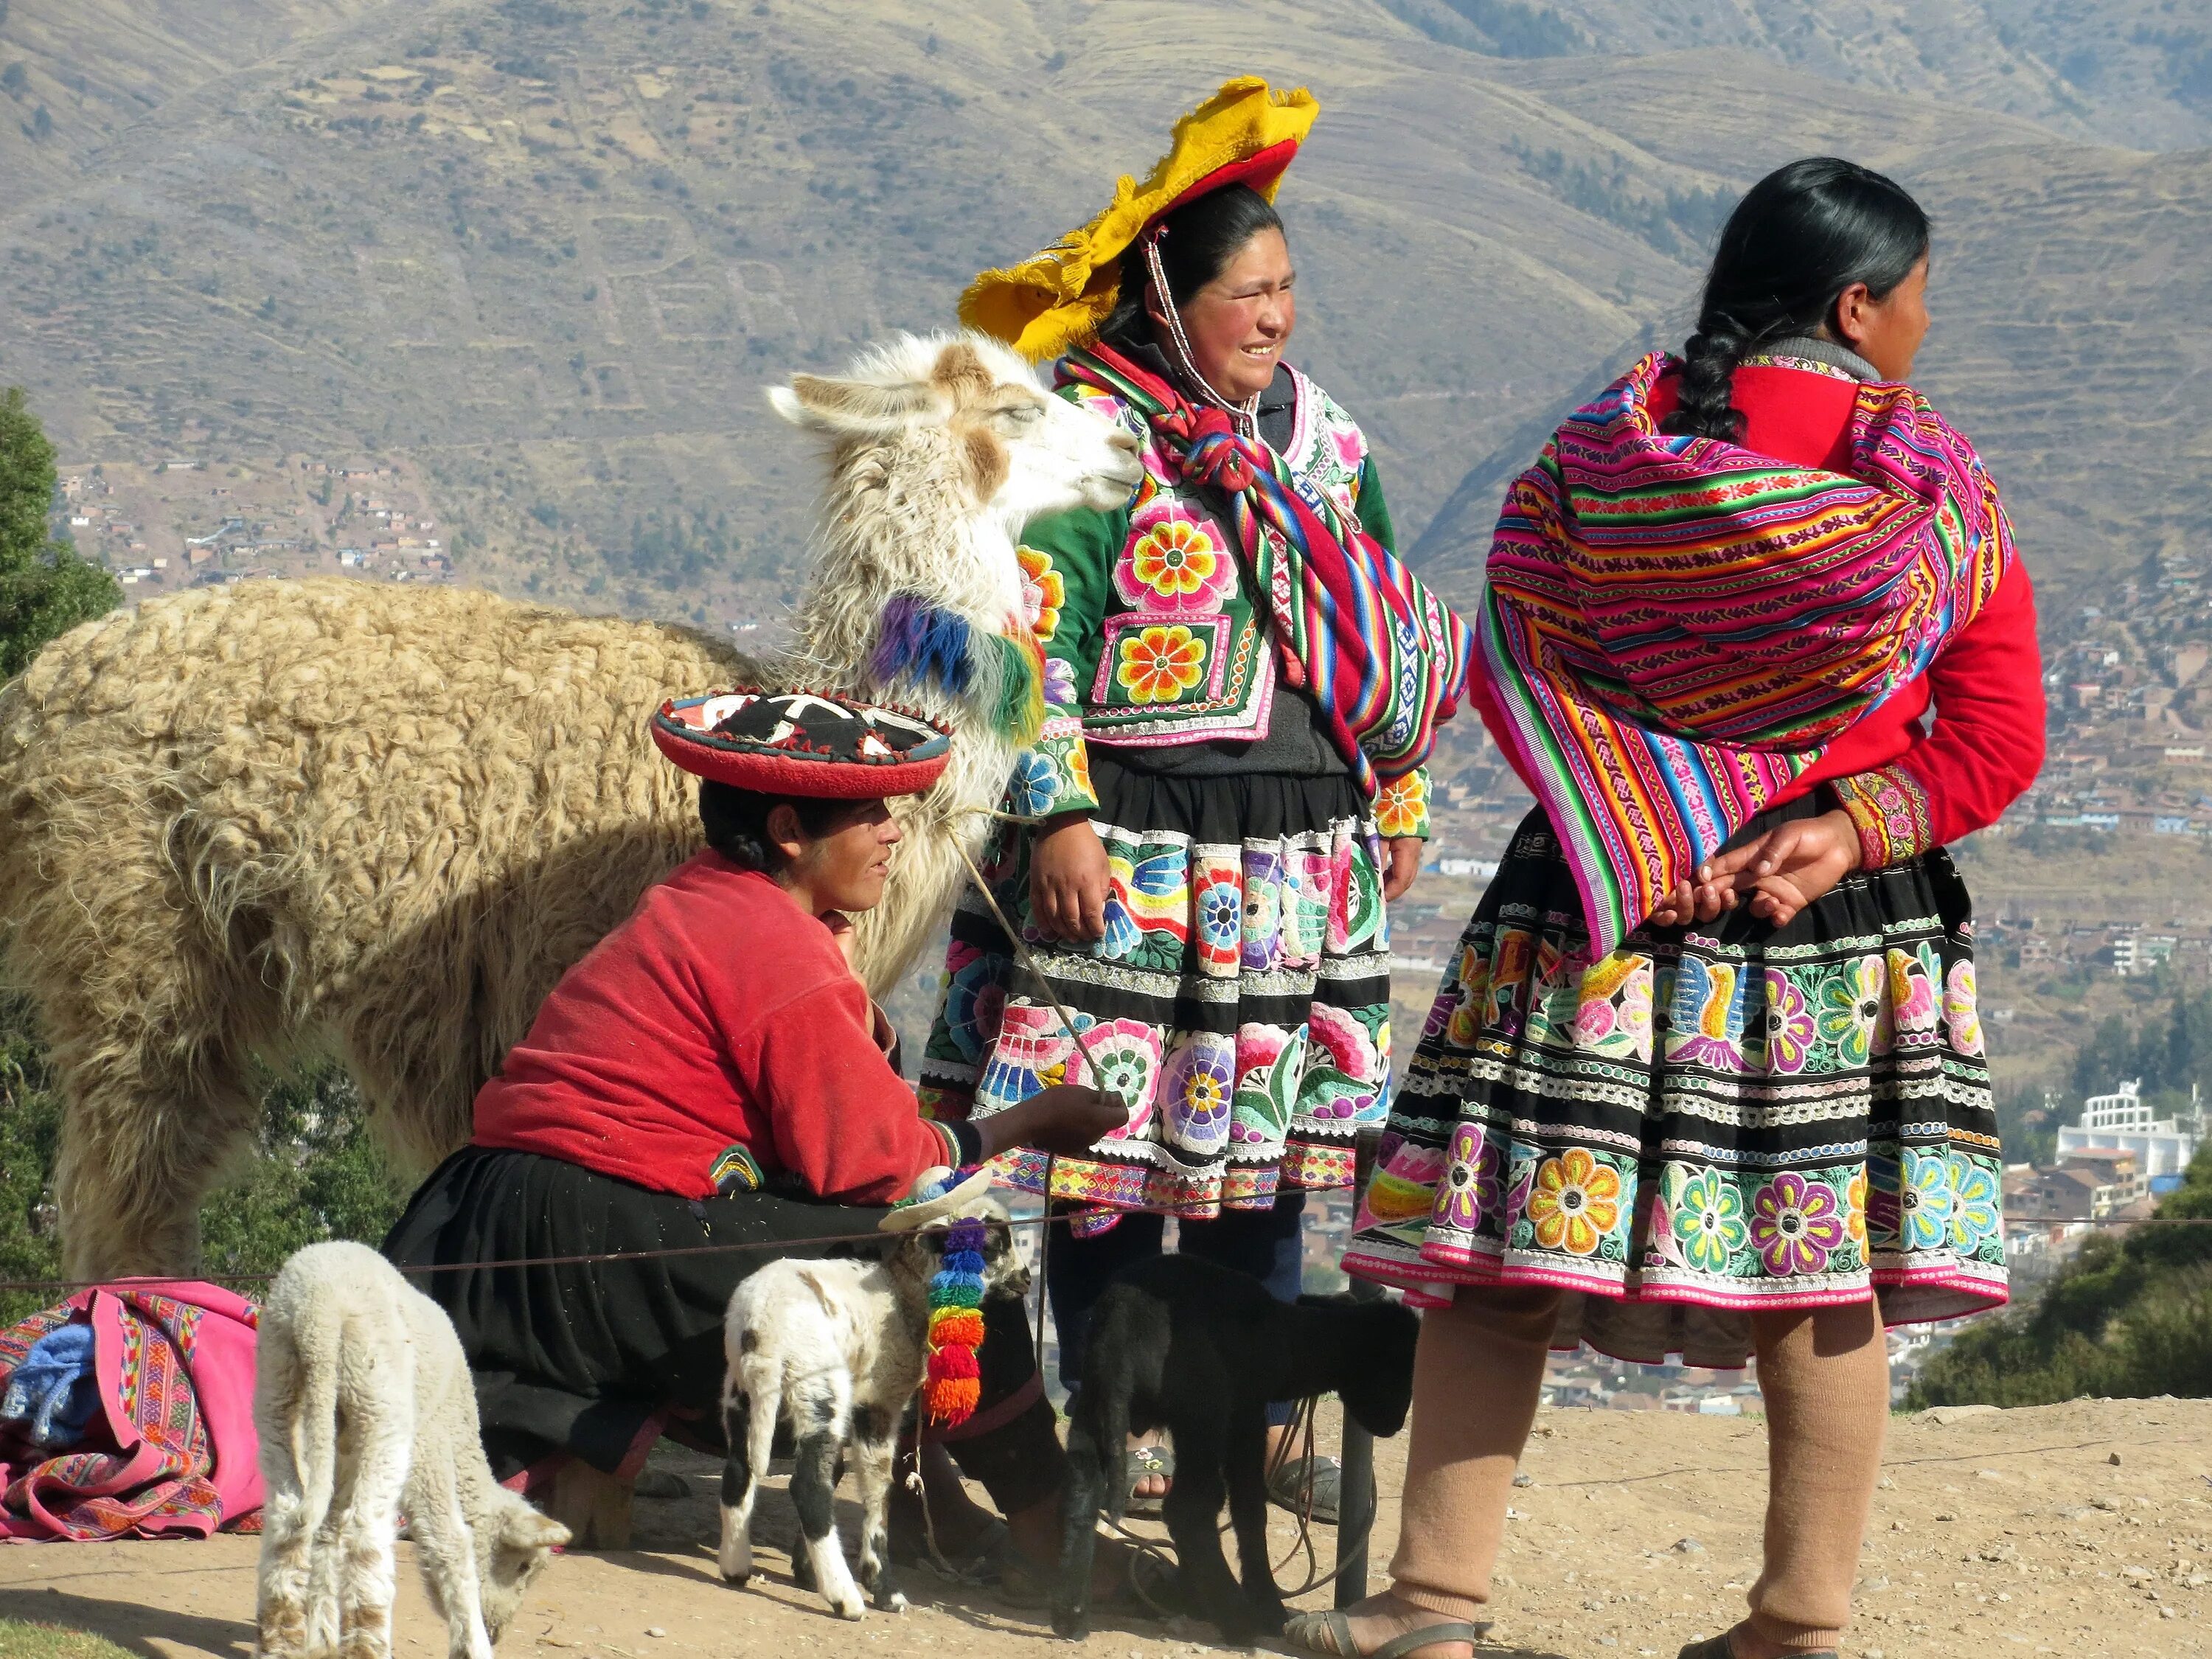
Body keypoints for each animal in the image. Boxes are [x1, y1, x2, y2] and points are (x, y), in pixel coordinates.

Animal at [254, 1248, 575, 1659]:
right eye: (522, 1567)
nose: (497, 1632)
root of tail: (319, 1312)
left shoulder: (346, 1452)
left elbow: (328, 1530)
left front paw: (321, 1638)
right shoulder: (430, 1441)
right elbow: (451, 1542)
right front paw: (475, 1646)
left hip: (277, 1385)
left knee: (289, 1512)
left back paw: (280, 1642)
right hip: (380, 1398)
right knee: (366, 1532)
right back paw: (368, 1646)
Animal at [721, 1212, 1031, 1628]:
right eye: (993, 1246)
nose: (1026, 1279)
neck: (903, 1292)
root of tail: (761, 1322)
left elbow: (838, 1472)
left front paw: (805, 1571)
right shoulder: (881, 1401)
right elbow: (878, 1488)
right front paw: (882, 1586)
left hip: (741, 1389)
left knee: (741, 1470)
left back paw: (735, 1567)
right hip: (819, 1383)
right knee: (808, 1488)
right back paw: (846, 1599)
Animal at [1053, 1256, 1416, 1646]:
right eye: (1399, 1370)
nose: (1394, 1426)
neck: (1289, 1337)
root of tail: (1123, 1329)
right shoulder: (1246, 1412)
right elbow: (1250, 1506)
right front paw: (1267, 1606)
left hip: (1093, 1407)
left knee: (1082, 1495)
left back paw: (1072, 1616)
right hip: (1203, 1407)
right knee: (1190, 1508)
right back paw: (1238, 1620)